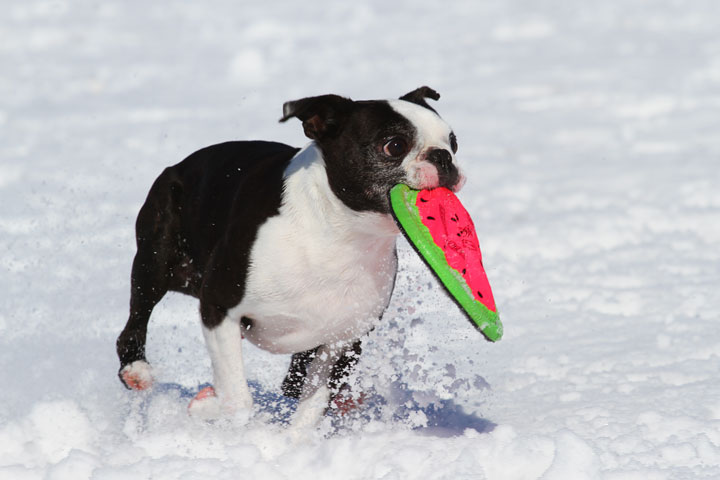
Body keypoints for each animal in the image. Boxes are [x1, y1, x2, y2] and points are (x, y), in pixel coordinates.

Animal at [116, 86, 466, 428]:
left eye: (454, 142)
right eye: (394, 146)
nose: (443, 157)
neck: (341, 234)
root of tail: (178, 165)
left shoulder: (343, 340)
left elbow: (311, 408)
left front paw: (291, 442)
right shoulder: (218, 306)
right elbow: (239, 400)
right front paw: (205, 406)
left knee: (293, 382)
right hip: (157, 256)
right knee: (138, 315)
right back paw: (136, 370)